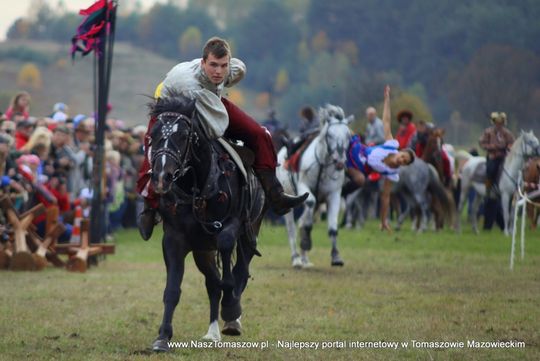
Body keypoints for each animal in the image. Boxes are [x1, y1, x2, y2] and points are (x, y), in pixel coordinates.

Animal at [276, 104, 352, 268]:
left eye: (348, 136)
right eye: (330, 135)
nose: (340, 161)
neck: (322, 164)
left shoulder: (334, 194)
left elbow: (332, 228)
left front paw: (336, 256)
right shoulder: (304, 187)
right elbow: (309, 207)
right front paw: (305, 239)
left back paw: (305, 259)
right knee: (291, 229)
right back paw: (297, 259)